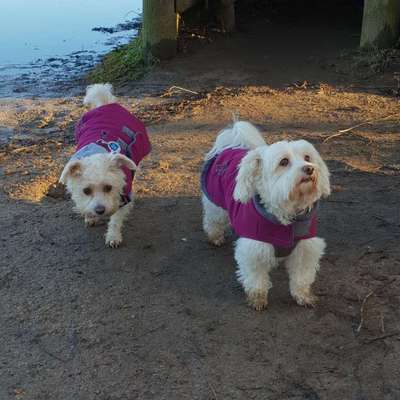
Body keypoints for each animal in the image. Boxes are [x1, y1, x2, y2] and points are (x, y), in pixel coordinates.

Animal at [59, 84, 152, 247]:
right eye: (86, 191)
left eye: (108, 188)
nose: (100, 210)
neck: (96, 152)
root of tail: (105, 104)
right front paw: (90, 216)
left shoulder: (124, 196)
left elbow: (115, 219)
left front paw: (113, 236)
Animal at [202, 120, 330, 310]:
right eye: (284, 161)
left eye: (307, 158)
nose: (309, 169)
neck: (286, 217)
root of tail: (230, 145)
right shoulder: (254, 249)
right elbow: (256, 279)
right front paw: (257, 298)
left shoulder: (305, 248)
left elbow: (302, 276)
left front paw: (303, 295)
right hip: (216, 205)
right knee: (212, 220)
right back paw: (215, 237)